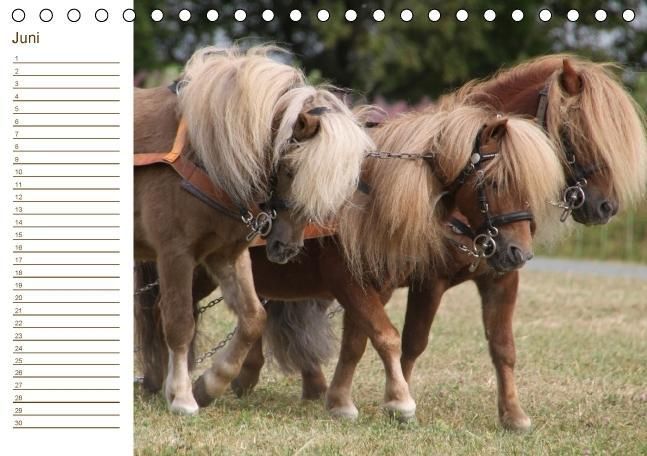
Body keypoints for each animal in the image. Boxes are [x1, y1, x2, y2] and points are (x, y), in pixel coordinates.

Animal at [134, 45, 372, 415]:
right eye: (291, 169)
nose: (286, 248)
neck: (202, 154)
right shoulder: (175, 253)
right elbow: (179, 322)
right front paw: (183, 398)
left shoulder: (225, 254)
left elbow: (253, 318)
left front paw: (209, 384)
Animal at [136, 101, 566, 421]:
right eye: (494, 182)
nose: (519, 253)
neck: (369, 196)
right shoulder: (354, 282)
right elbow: (387, 336)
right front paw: (399, 402)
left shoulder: (377, 285)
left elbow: (360, 341)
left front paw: (343, 401)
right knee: (166, 314)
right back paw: (169, 384)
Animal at [224, 55, 647, 430]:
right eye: (578, 132)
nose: (606, 206)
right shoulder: (419, 281)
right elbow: (401, 340)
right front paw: (391, 400)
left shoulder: (498, 276)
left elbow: (501, 346)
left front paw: (513, 415)